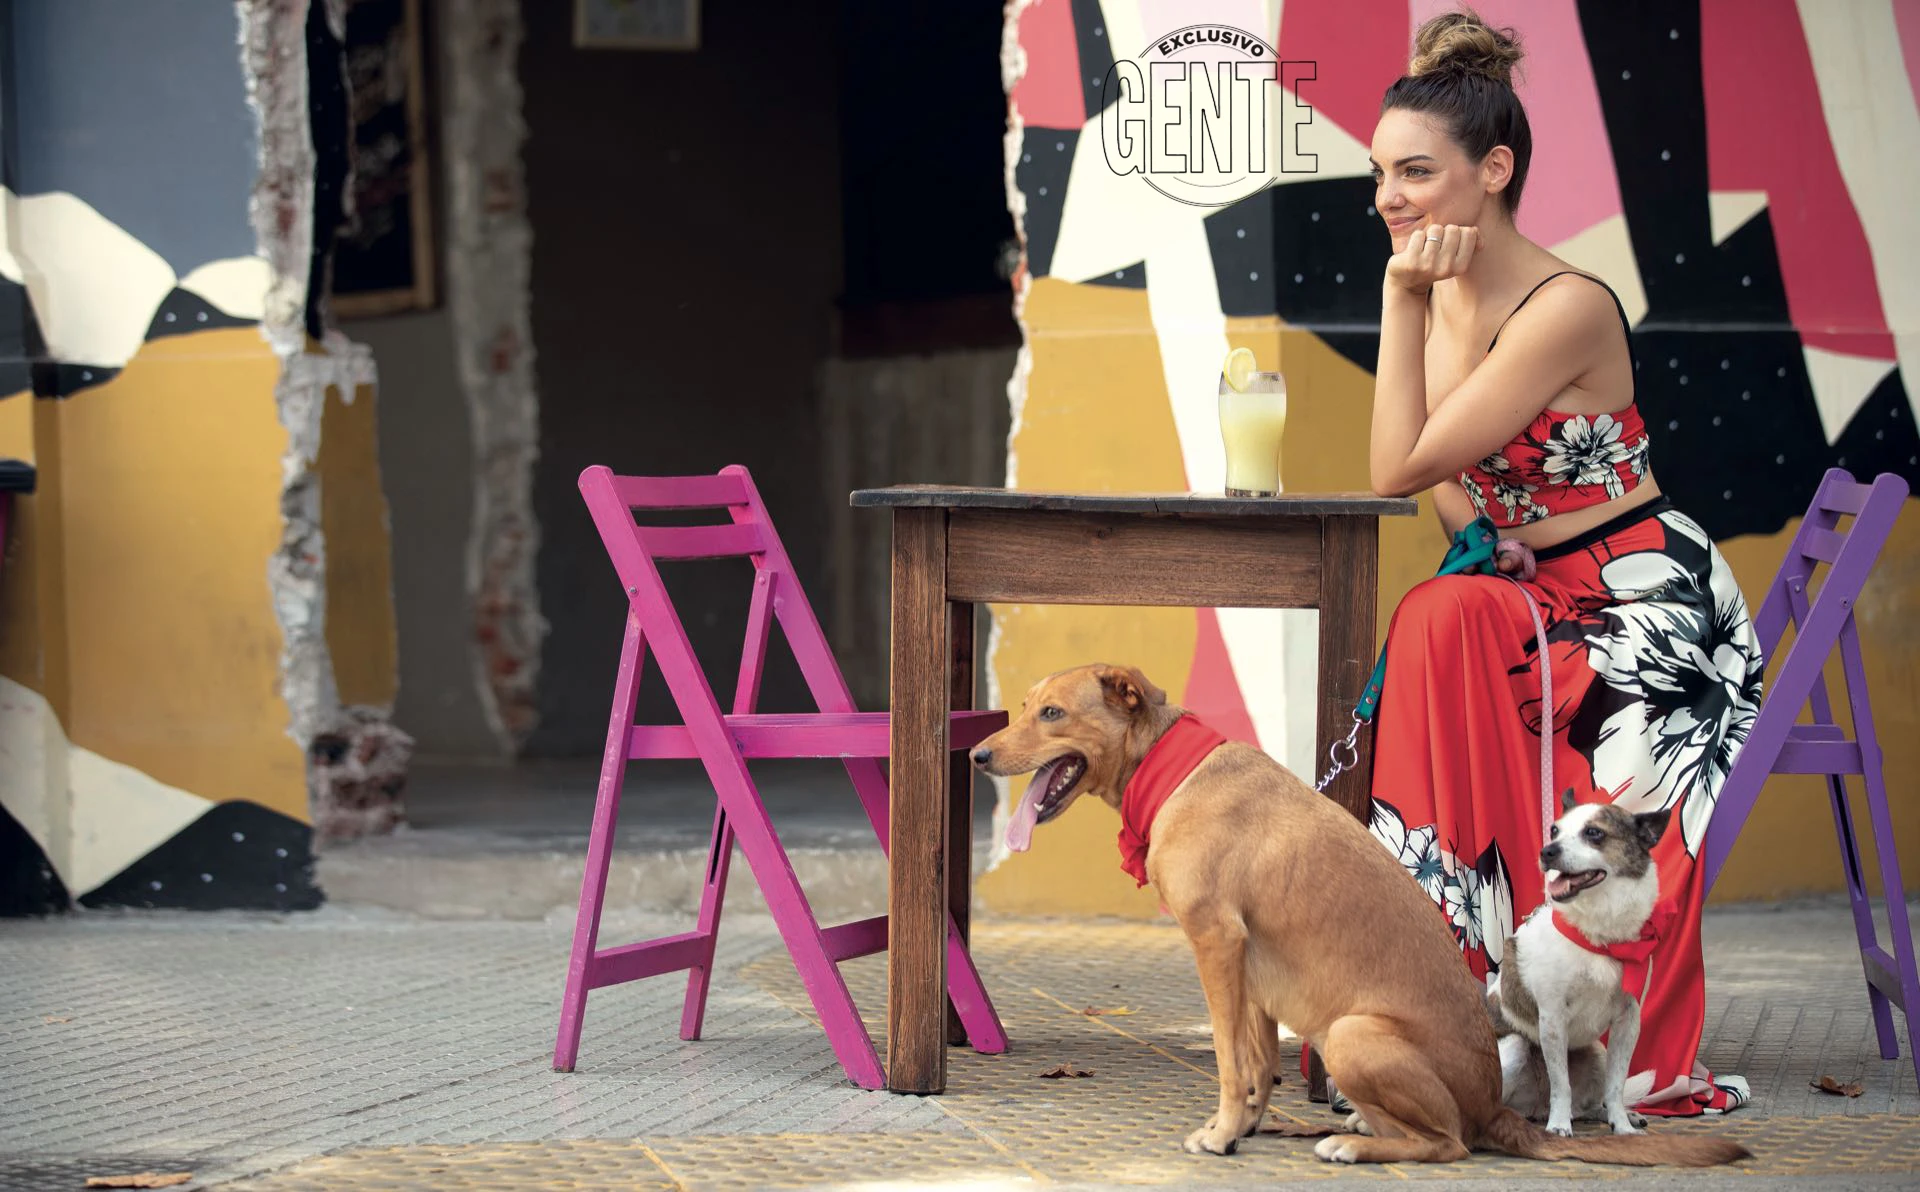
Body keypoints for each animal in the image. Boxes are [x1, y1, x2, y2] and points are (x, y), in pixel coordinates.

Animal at [1487, 791, 1672, 1137]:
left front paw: (1622, 1124)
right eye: (1554, 831)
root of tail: (1535, 1110)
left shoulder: (1629, 1021)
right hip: (1514, 1047)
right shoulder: (1552, 1019)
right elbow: (1562, 1084)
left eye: (1594, 833)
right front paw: (1559, 1126)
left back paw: (1613, 1115)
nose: (1547, 851)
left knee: (1586, 1106)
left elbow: (1616, 1085)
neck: (1599, 937)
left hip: (1597, 1053)